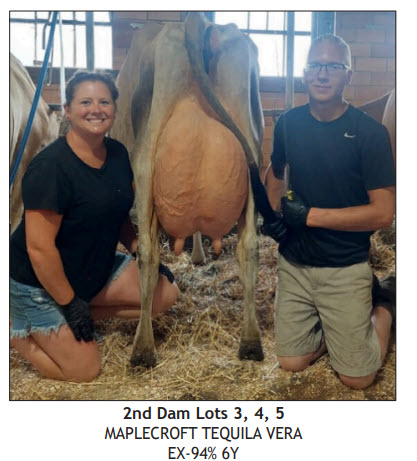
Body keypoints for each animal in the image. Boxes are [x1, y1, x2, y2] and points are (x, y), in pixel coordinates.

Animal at [111, 12, 273, 367]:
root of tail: (197, 21)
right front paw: (198, 255)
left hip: (145, 161)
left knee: (147, 252)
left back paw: (143, 349)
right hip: (253, 152)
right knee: (249, 247)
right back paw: (251, 343)